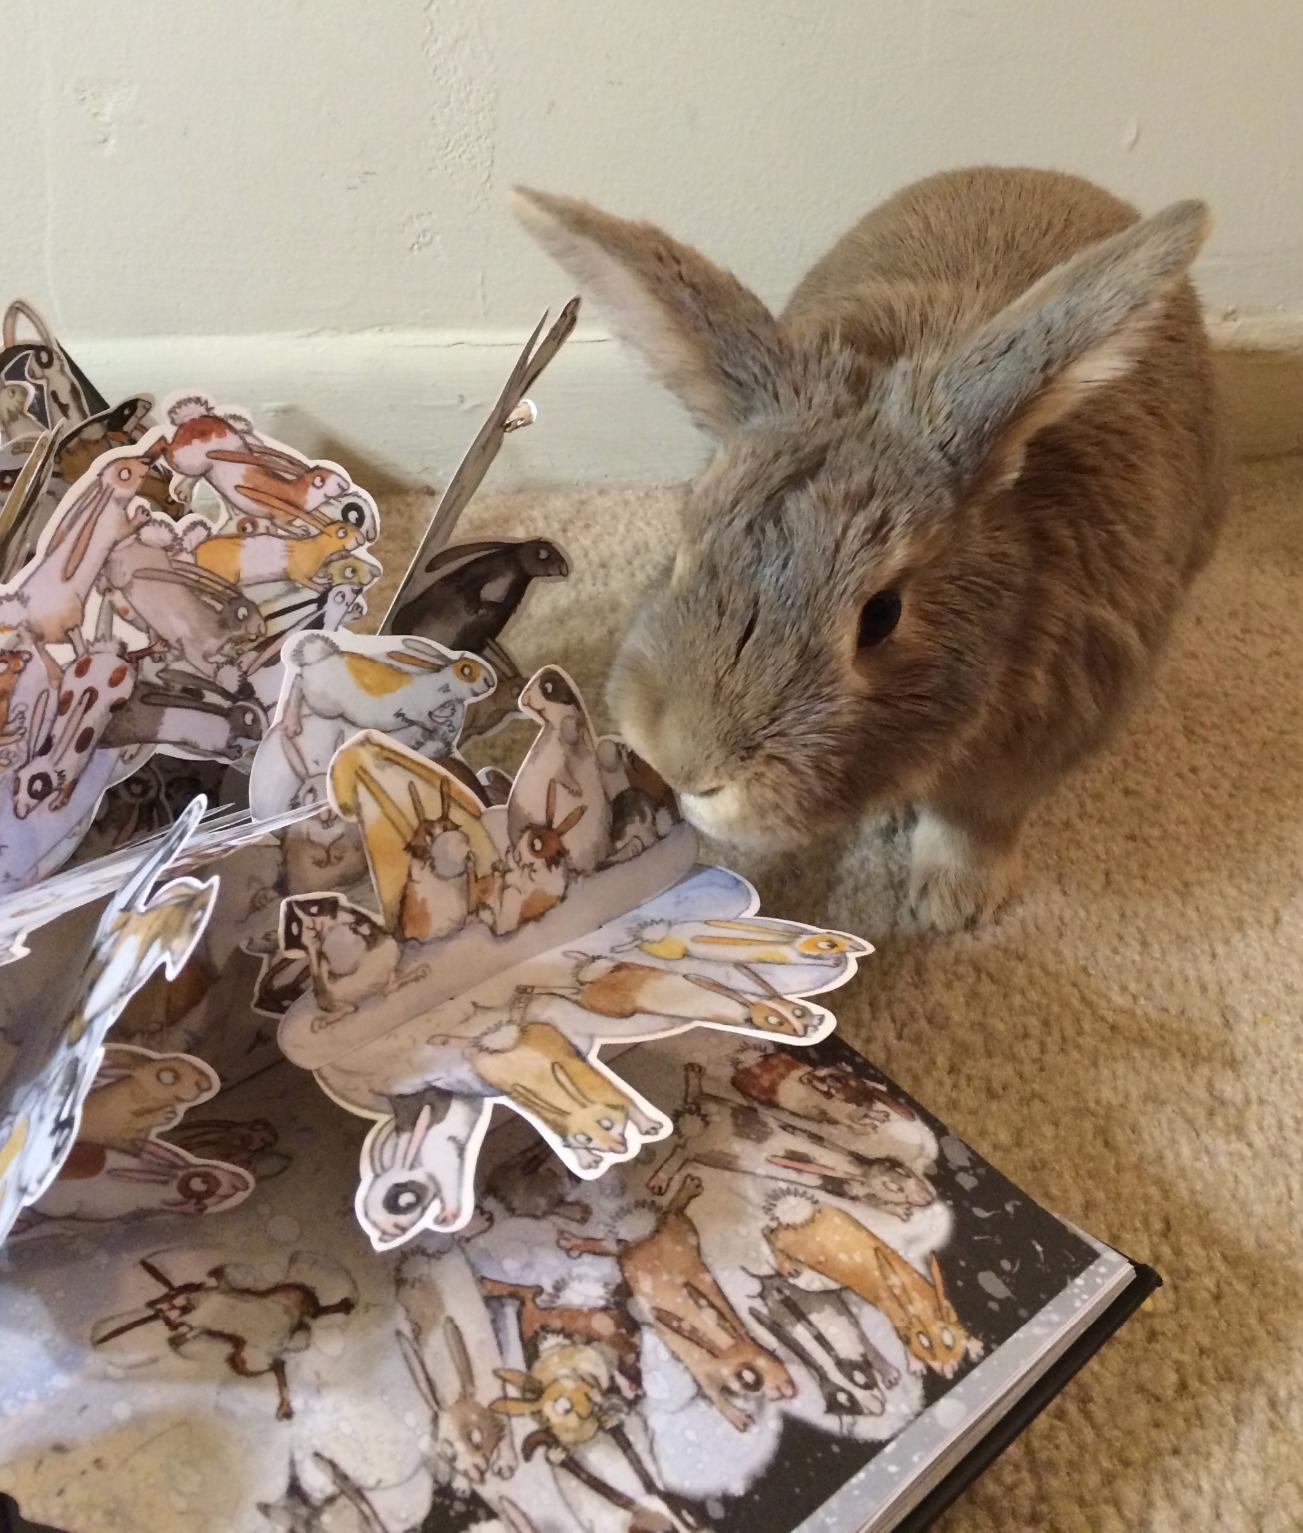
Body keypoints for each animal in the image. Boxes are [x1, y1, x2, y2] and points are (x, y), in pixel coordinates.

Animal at [514, 168, 1227, 930]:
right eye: (681, 546)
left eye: (882, 616)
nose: (685, 765)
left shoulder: (1030, 753)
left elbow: (975, 821)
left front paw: (954, 906)